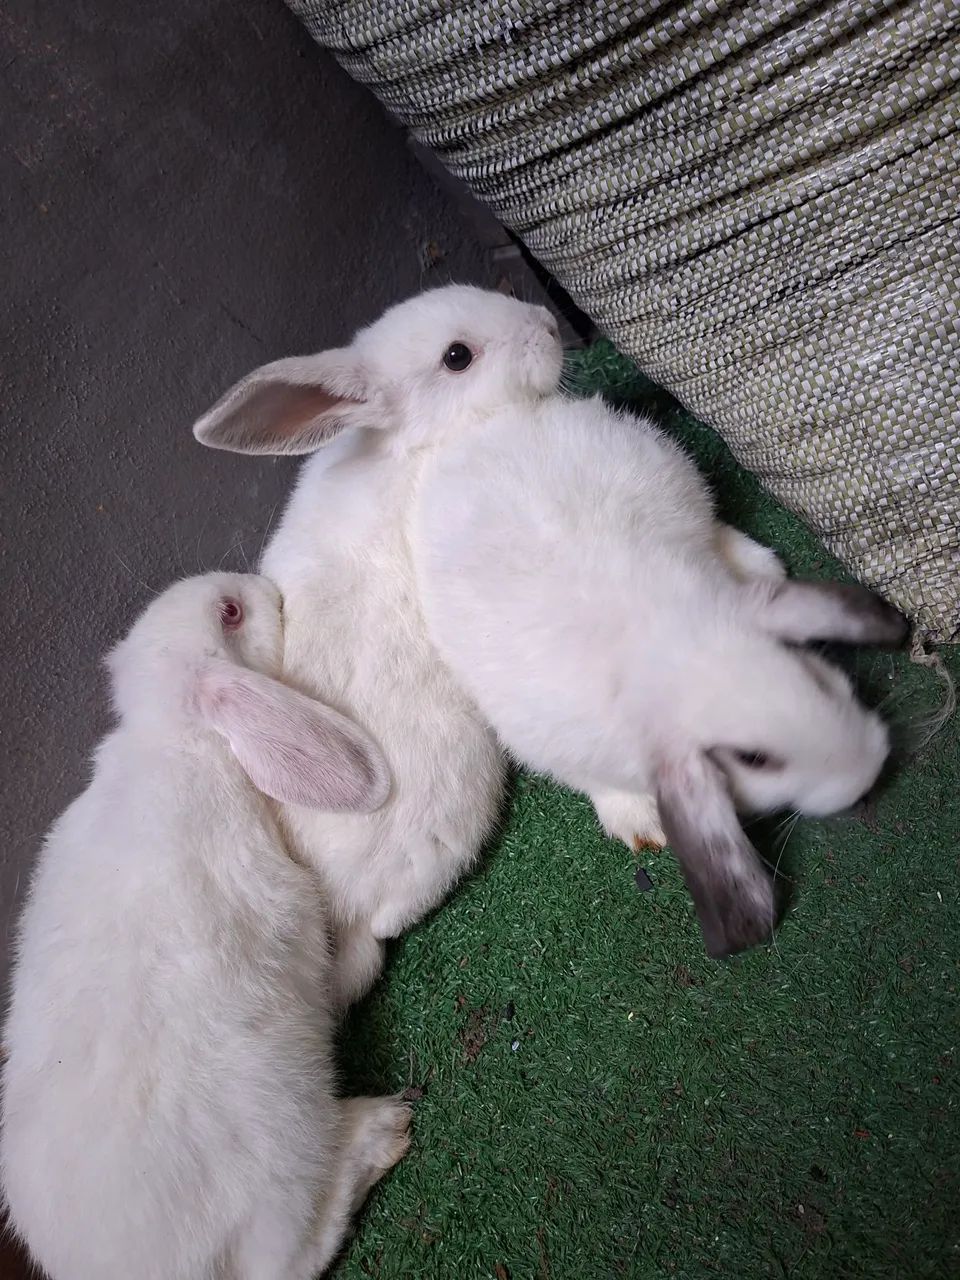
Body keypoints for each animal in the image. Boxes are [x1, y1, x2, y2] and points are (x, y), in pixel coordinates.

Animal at [0, 572, 411, 1280]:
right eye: (231, 612)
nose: (265, 586)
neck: (181, 739)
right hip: (285, 1139)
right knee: (295, 1254)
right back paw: (381, 1130)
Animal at [331, 285, 904, 958]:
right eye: (754, 759)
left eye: (815, 676)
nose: (868, 769)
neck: (667, 646)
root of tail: (480, 426)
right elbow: (601, 786)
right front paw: (640, 822)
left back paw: (758, 561)